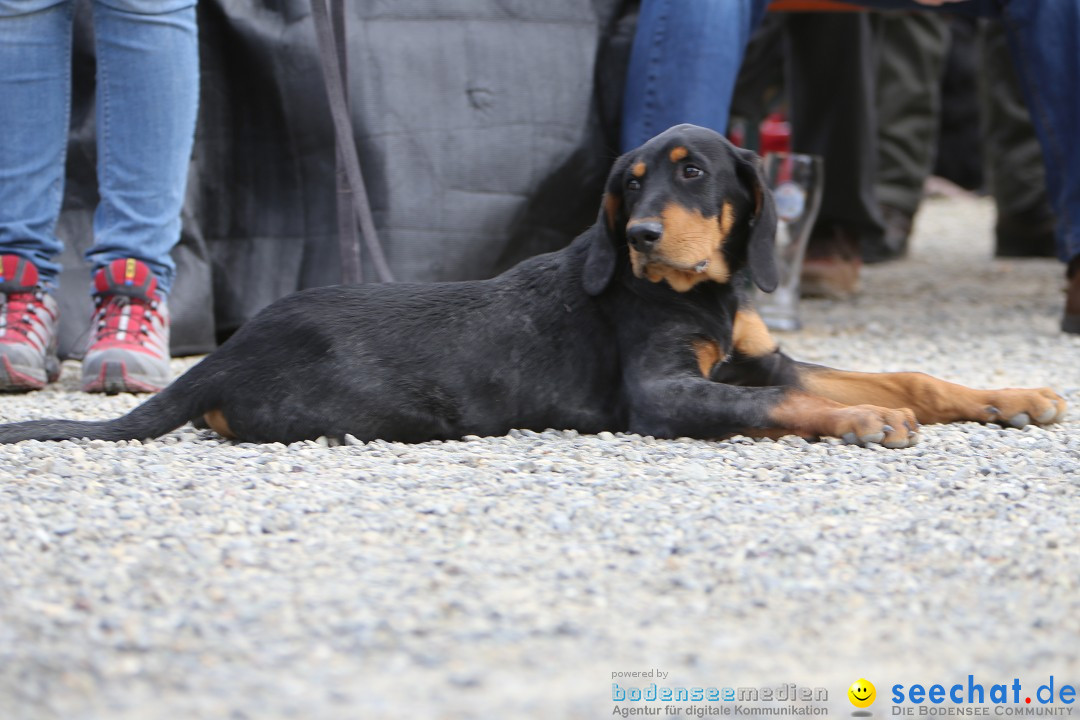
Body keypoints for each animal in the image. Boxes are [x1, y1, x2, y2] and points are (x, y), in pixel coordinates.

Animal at [0, 126, 1062, 446]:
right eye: (629, 182)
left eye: (693, 174)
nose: (640, 237)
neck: (701, 292)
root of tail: (220, 355)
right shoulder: (664, 393)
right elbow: (771, 409)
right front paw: (858, 421)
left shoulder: (766, 360)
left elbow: (908, 375)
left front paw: (1014, 397)